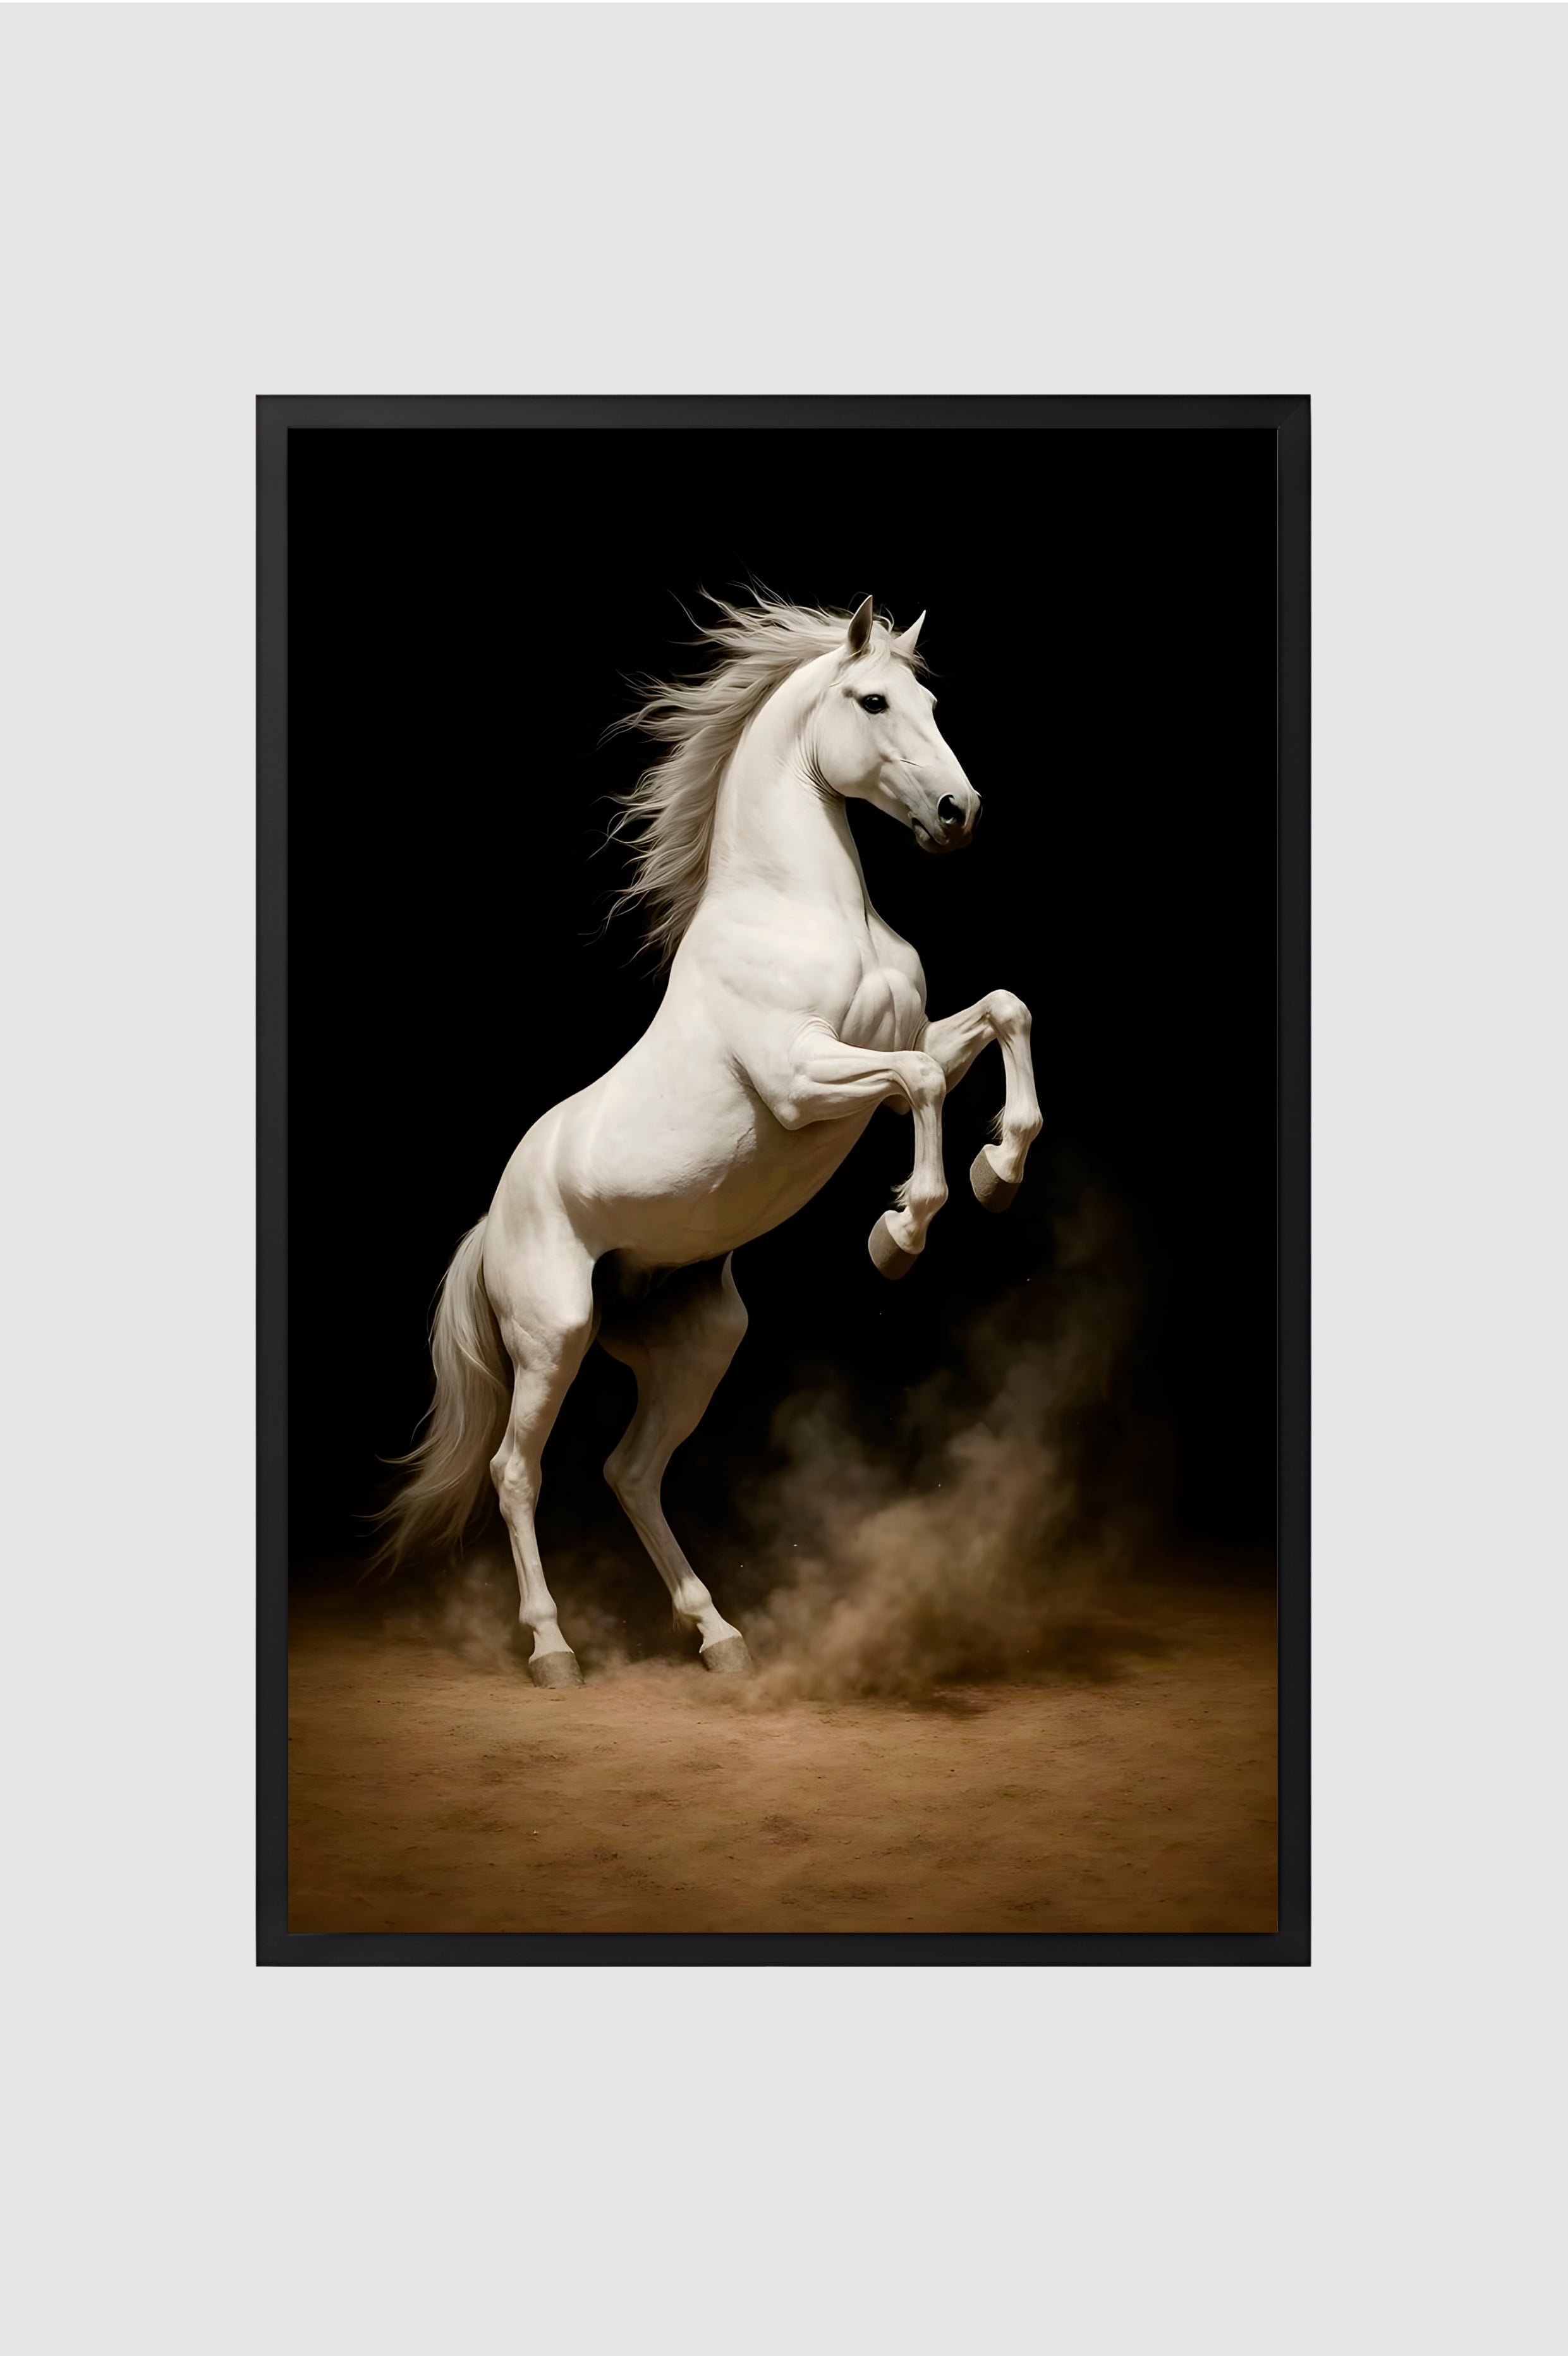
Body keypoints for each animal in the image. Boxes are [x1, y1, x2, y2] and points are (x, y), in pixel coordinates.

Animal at [377, 594, 1042, 1685]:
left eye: (934, 703)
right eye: (872, 700)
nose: (959, 812)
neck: (805, 912)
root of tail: (492, 1221)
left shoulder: (903, 1045)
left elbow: (1001, 1014)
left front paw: (997, 1170)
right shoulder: (807, 1079)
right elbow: (920, 1085)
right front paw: (900, 1233)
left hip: (700, 1343)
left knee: (631, 1470)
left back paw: (718, 1635)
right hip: (553, 1335)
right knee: (518, 1470)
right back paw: (554, 1649)